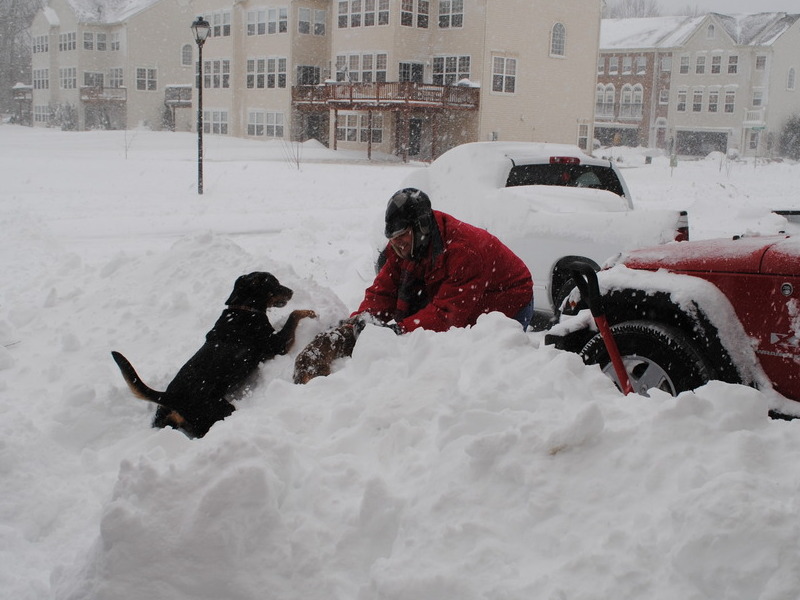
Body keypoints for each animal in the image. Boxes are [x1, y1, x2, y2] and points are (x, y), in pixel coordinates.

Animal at [111, 272, 316, 436]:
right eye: (273, 283)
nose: (291, 291)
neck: (244, 309)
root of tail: (170, 397)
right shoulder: (277, 345)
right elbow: (293, 315)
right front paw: (310, 312)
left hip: (163, 418)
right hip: (219, 410)